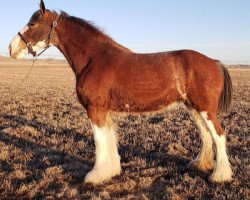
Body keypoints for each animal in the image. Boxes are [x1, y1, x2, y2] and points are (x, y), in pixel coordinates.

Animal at [8, 0, 233, 184]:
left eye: (32, 24)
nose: (11, 49)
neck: (94, 58)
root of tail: (214, 62)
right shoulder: (104, 111)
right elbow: (109, 139)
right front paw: (111, 171)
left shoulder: (95, 110)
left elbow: (99, 142)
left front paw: (95, 176)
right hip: (193, 108)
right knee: (206, 135)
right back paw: (200, 164)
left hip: (205, 109)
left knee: (219, 135)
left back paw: (220, 176)